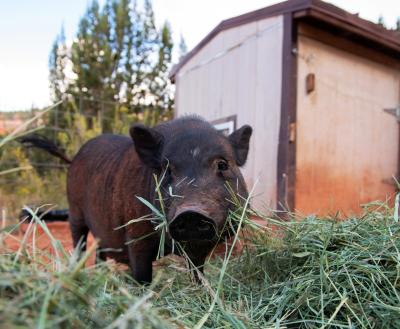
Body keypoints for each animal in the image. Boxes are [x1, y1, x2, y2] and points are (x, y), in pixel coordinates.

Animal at [20, 115, 252, 282]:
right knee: (80, 243)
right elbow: (142, 275)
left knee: (99, 250)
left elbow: (198, 271)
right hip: (74, 212)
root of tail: (74, 157)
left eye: (222, 164)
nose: (191, 213)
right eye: (166, 170)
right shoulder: (135, 236)